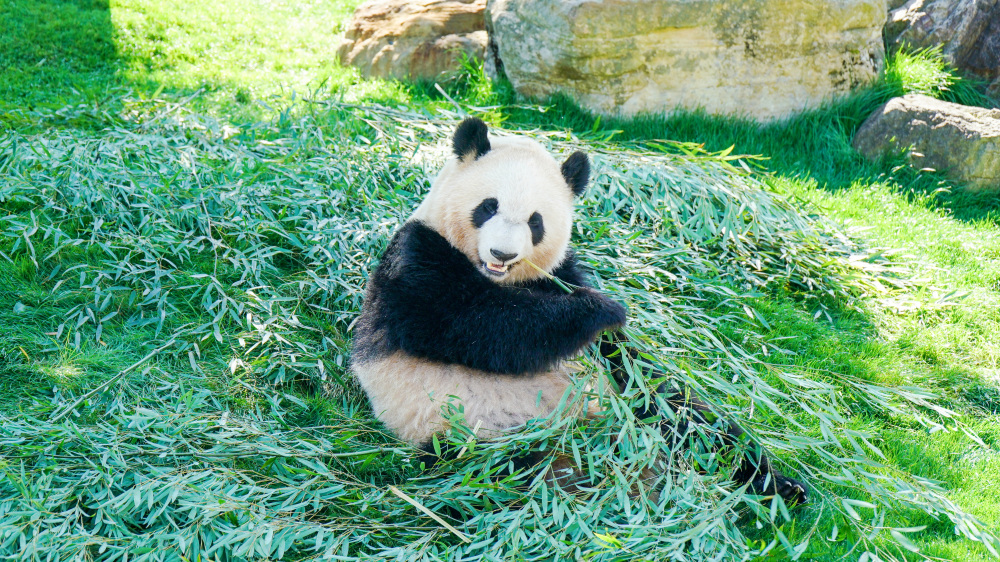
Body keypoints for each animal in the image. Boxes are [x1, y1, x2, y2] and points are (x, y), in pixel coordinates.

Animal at [356, 118, 808, 504]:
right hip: (470, 436)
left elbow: (622, 354)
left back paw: (776, 485)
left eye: (535, 221)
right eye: (488, 206)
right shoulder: (416, 262)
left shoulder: (559, 273)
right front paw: (605, 309)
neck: (499, 279)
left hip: (630, 402)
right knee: (514, 473)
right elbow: (477, 325)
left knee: (689, 416)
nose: (502, 253)